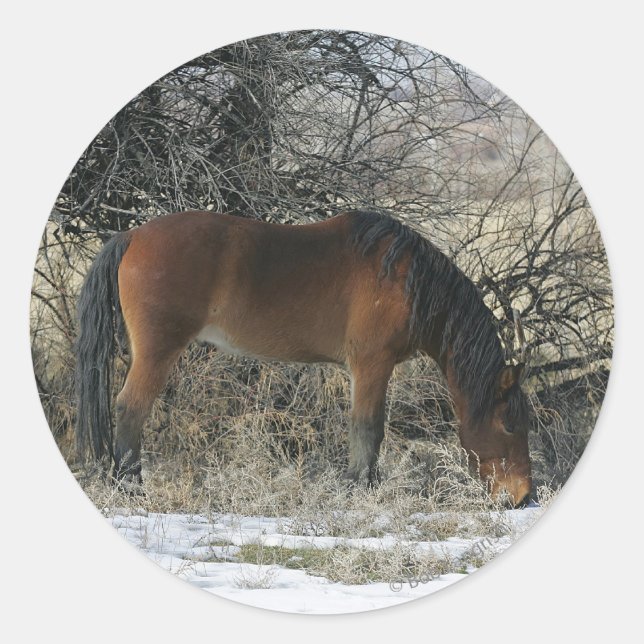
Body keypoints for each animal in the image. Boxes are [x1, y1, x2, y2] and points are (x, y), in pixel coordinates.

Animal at [75, 209, 532, 506]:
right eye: (510, 424)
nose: (523, 497)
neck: (406, 279)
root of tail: (133, 236)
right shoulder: (372, 364)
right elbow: (368, 429)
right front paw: (360, 490)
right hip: (157, 351)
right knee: (131, 408)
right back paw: (130, 487)